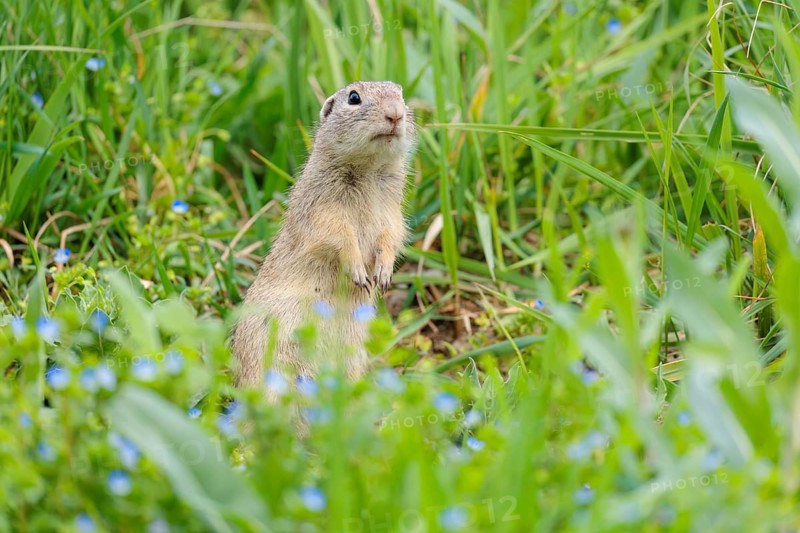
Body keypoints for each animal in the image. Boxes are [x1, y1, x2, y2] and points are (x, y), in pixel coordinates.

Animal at [232, 81, 416, 395]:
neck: (368, 169)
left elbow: (390, 235)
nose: (395, 114)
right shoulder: (324, 211)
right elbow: (339, 237)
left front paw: (383, 273)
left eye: (401, 93)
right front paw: (359, 272)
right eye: (354, 98)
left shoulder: (392, 212)